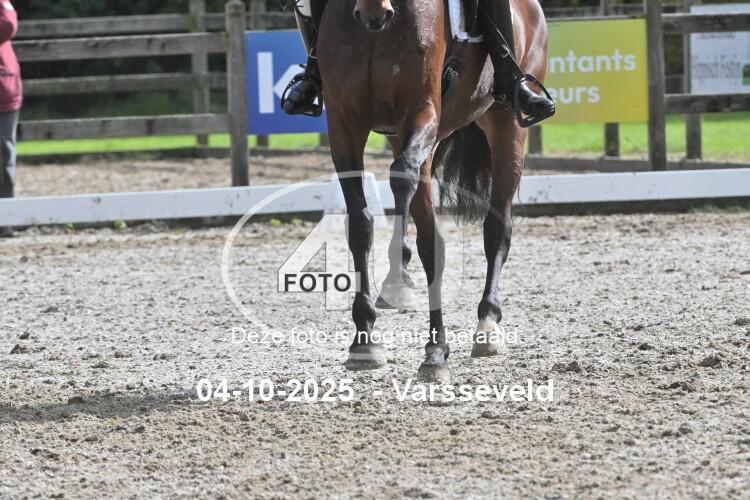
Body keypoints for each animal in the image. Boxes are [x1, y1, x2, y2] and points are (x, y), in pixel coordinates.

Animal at [316, 0, 549, 382]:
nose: (374, 14)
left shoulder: (421, 110)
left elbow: (426, 233)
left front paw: (436, 349)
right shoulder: (343, 125)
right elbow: (361, 226)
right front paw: (364, 339)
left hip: (506, 125)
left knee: (497, 227)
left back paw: (488, 323)